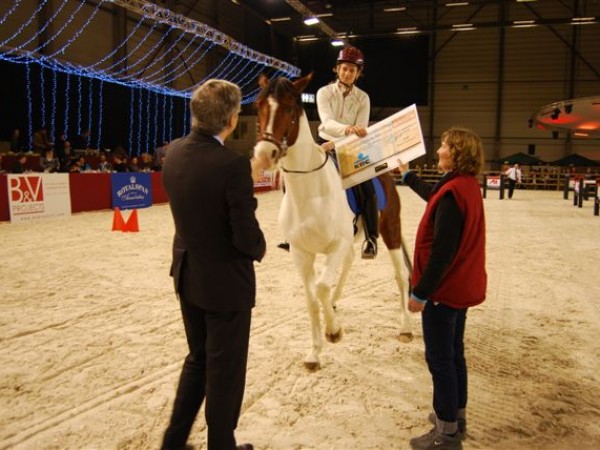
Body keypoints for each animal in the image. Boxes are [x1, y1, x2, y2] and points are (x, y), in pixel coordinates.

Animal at [252, 74, 412, 370]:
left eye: (289, 107)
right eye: (259, 106)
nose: (264, 154)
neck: (309, 192)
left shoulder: (335, 245)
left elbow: (321, 287)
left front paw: (334, 332)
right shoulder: (301, 253)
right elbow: (312, 298)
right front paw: (314, 353)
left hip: (390, 230)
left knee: (401, 275)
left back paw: (405, 328)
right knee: (347, 265)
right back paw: (336, 305)